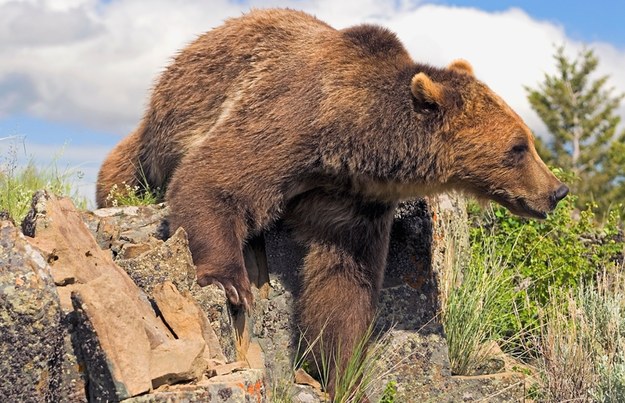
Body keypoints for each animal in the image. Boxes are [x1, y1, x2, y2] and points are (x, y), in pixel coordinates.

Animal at [96, 7, 564, 396]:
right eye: (519, 147)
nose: (557, 191)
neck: (350, 142)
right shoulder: (289, 118)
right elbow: (213, 179)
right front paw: (232, 283)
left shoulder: (352, 200)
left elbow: (342, 282)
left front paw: (343, 372)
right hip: (156, 134)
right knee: (122, 169)